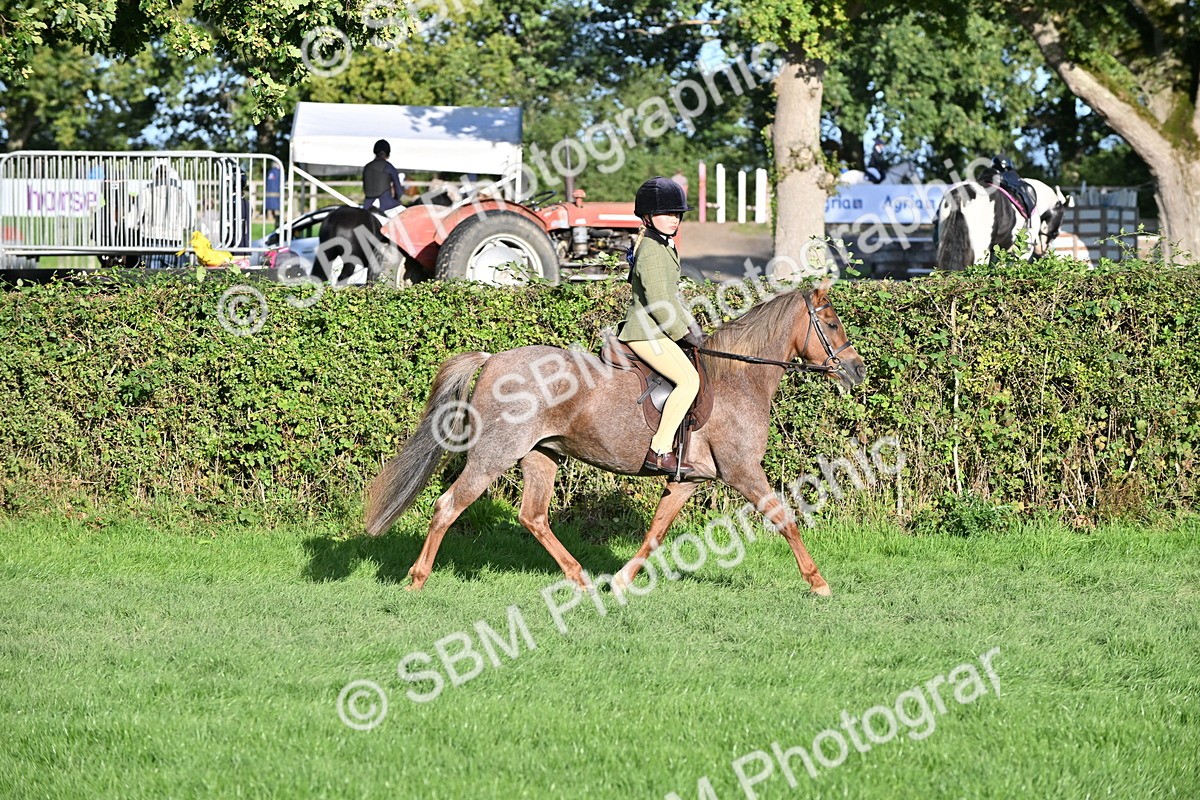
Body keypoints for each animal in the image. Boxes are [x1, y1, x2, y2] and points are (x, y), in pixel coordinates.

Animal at [363, 283, 868, 596]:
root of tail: (494, 359)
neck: (737, 378)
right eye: (833, 324)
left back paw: (581, 580)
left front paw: (623, 580)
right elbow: (786, 519)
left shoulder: (687, 479)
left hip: (540, 455)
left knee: (533, 516)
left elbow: (656, 531)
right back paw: (417, 579)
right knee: (448, 506)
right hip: (494, 455)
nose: (857, 371)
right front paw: (819, 583)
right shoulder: (743, 471)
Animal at [935, 178, 1074, 270]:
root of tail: (960, 196)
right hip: (980, 252)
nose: (1041, 251)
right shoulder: (1023, 251)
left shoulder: (997, 251)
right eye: (1057, 230)